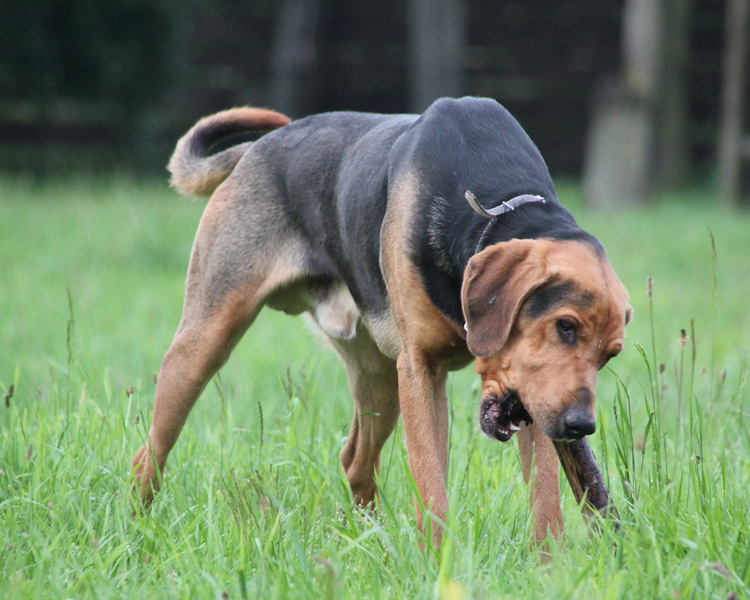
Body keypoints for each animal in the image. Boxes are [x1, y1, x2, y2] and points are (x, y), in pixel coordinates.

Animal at [132, 97, 631, 547]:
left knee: (355, 459)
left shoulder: (530, 406)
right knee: (147, 455)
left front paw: (553, 568)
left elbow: (546, 500)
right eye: (565, 326)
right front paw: (439, 562)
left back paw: (369, 539)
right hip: (204, 342)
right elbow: (432, 488)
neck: (495, 207)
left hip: (378, 379)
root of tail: (258, 148)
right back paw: (137, 529)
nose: (581, 426)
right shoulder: (421, 369)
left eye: (610, 356)